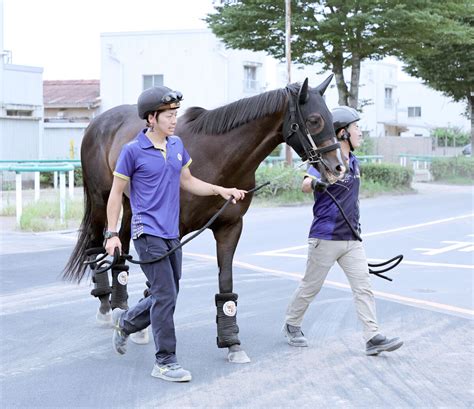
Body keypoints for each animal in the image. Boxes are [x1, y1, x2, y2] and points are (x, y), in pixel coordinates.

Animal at [62, 75, 344, 362]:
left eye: (330, 118)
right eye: (314, 120)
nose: (338, 167)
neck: (216, 156)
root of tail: (97, 123)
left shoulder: (230, 227)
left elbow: (225, 281)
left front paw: (231, 342)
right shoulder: (173, 232)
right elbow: (160, 285)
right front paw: (141, 325)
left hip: (131, 207)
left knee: (121, 250)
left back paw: (121, 306)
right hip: (101, 201)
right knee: (97, 247)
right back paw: (106, 308)